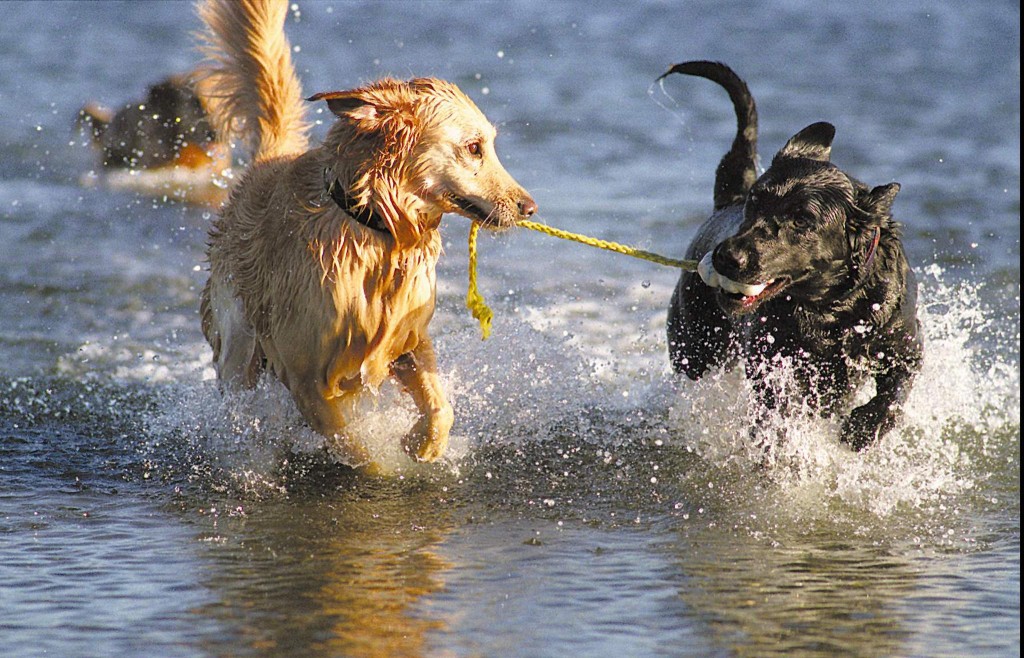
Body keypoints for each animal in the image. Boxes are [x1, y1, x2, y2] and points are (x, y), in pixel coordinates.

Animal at [193, 0, 536, 466]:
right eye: (473, 148)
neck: (375, 228)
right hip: (238, 344)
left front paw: (421, 445)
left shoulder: (409, 339)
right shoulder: (305, 375)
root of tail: (265, 162)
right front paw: (386, 463)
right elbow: (354, 446)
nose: (530, 207)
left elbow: (440, 408)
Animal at [659, 61, 925, 452]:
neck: (833, 311)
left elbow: (895, 392)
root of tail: (726, 203)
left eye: (802, 220)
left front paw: (862, 428)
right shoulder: (771, 362)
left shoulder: (906, 345)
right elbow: (776, 409)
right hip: (694, 344)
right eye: (756, 200)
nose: (727, 258)